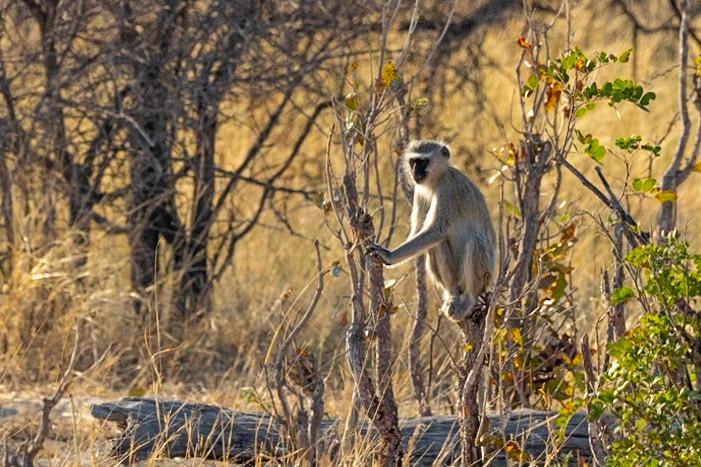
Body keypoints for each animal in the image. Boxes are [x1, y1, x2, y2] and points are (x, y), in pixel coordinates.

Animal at [368, 140, 496, 322]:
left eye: (423, 162)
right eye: (413, 162)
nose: (415, 172)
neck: (436, 181)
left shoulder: (448, 189)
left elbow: (437, 229)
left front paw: (388, 256)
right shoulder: (419, 192)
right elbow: (419, 231)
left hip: (486, 273)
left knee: (474, 243)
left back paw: (468, 299)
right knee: (436, 246)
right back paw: (452, 295)